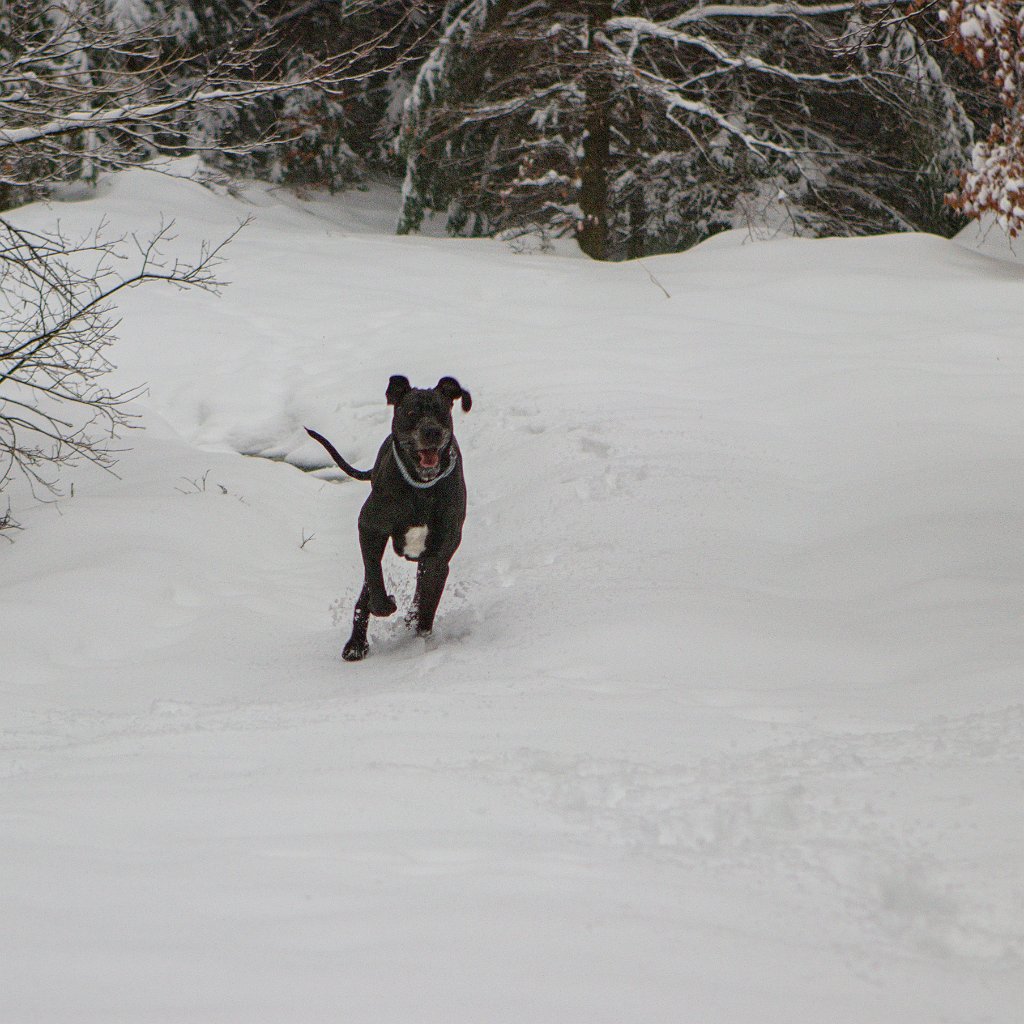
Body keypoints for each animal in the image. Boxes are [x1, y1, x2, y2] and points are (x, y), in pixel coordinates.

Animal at [305, 374, 473, 655]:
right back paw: (356, 645)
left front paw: (419, 632)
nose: (432, 431)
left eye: (441, 411)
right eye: (411, 412)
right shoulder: (369, 528)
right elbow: (375, 580)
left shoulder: (439, 555)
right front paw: (387, 604)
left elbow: (428, 601)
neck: (421, 489)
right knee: (366, 591)